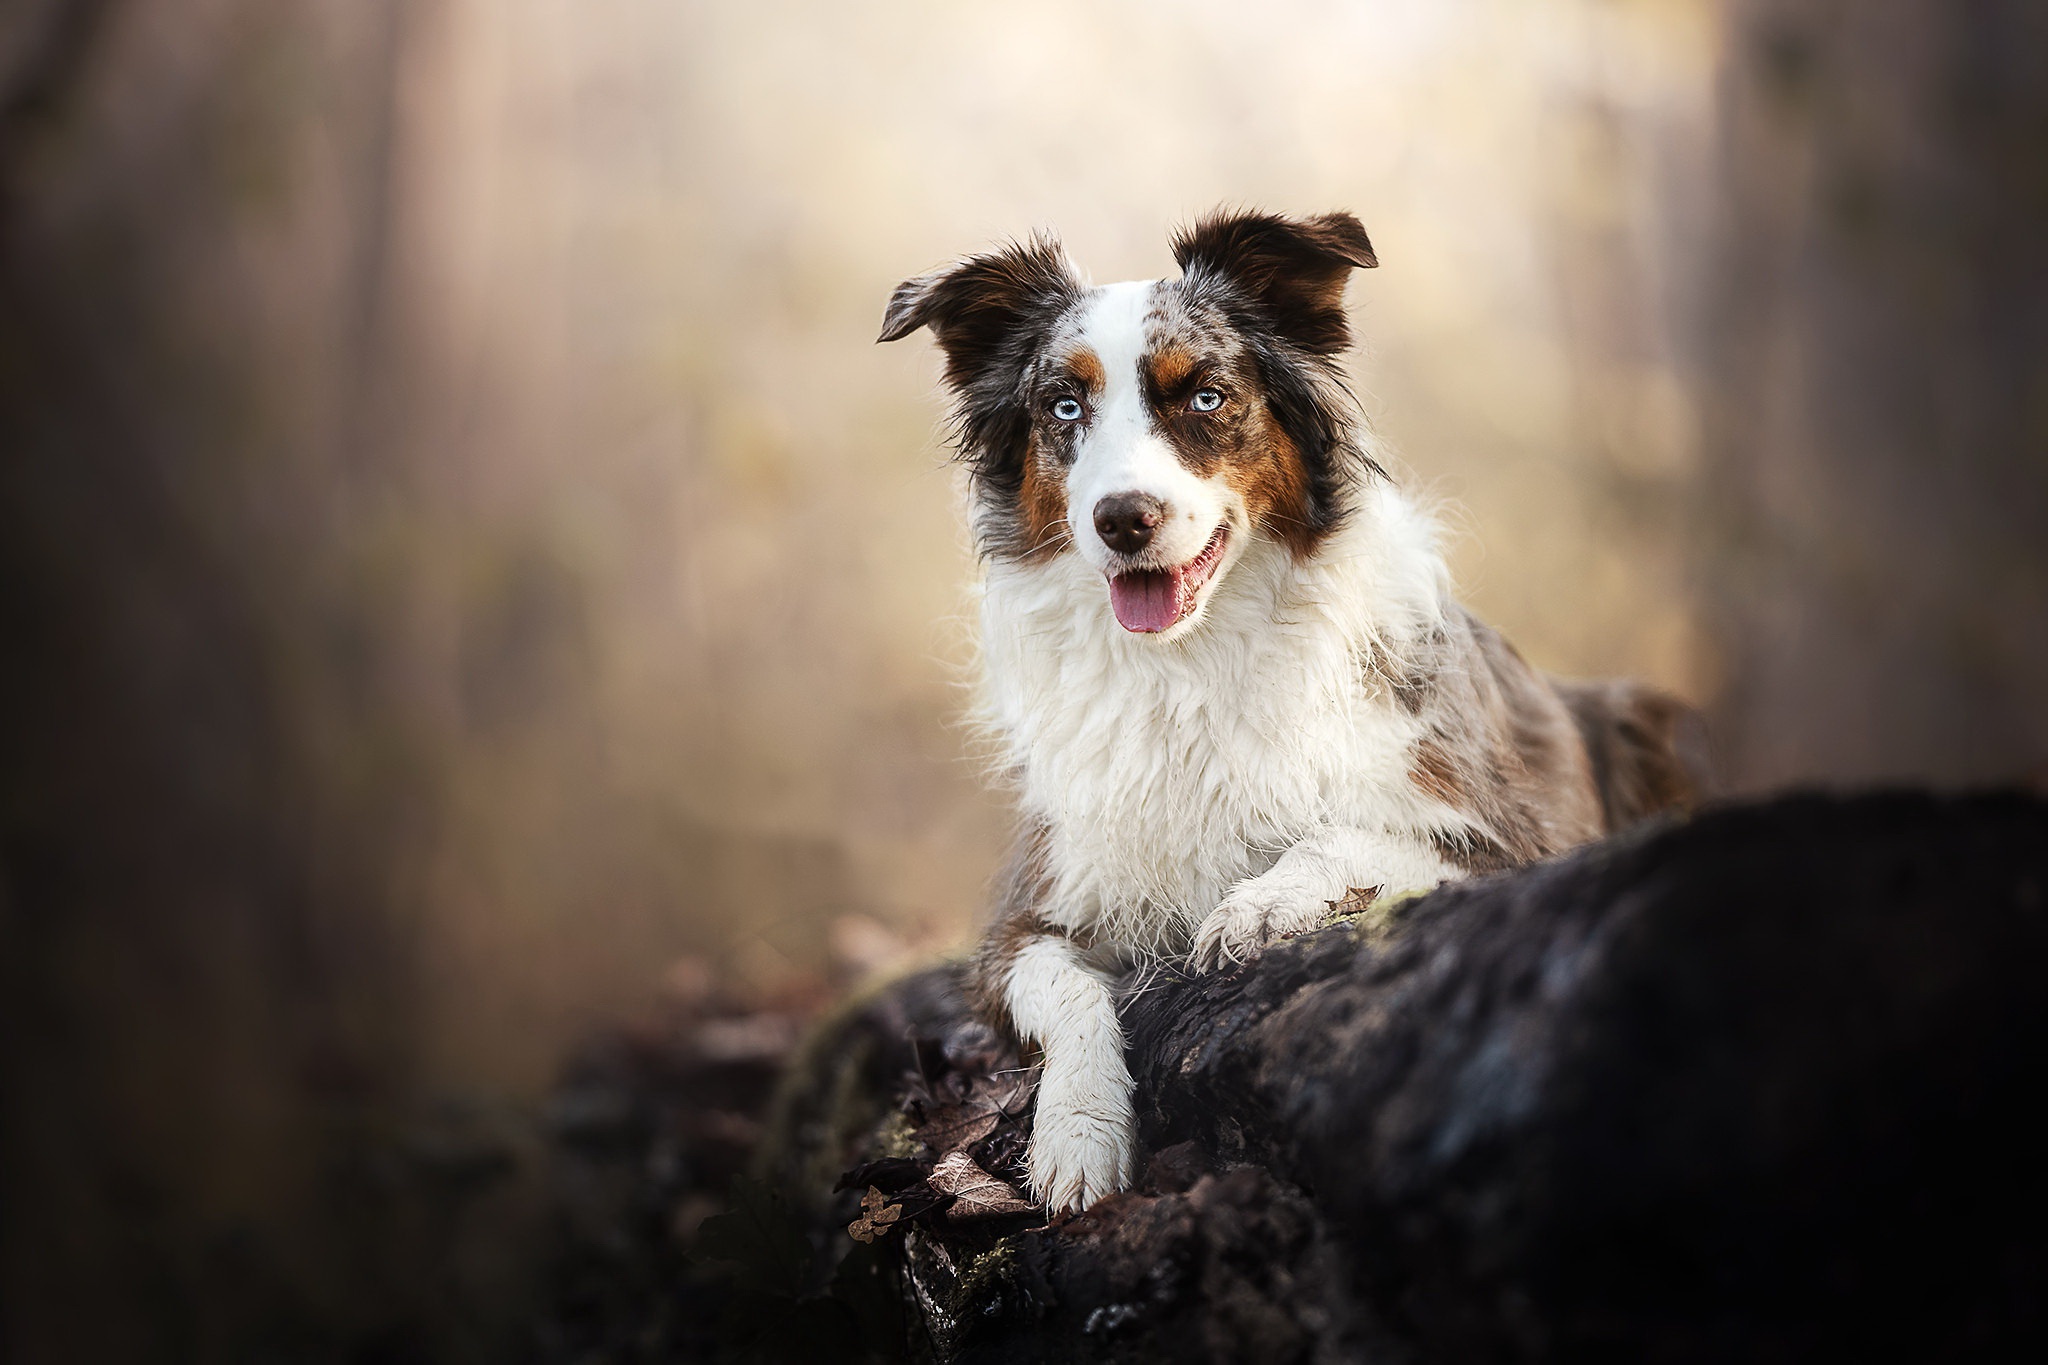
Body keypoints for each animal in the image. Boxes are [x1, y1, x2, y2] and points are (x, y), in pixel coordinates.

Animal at [872, 208, 1703, 1211]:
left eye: (1205, 396)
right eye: (1064, 409)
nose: (1123, 518)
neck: (1188, 664)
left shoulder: (1511, 837)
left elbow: (1346, 836)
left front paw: (1259, 904)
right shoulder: (1026, 919)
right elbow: (1071, 1000)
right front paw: (1076, 1134)